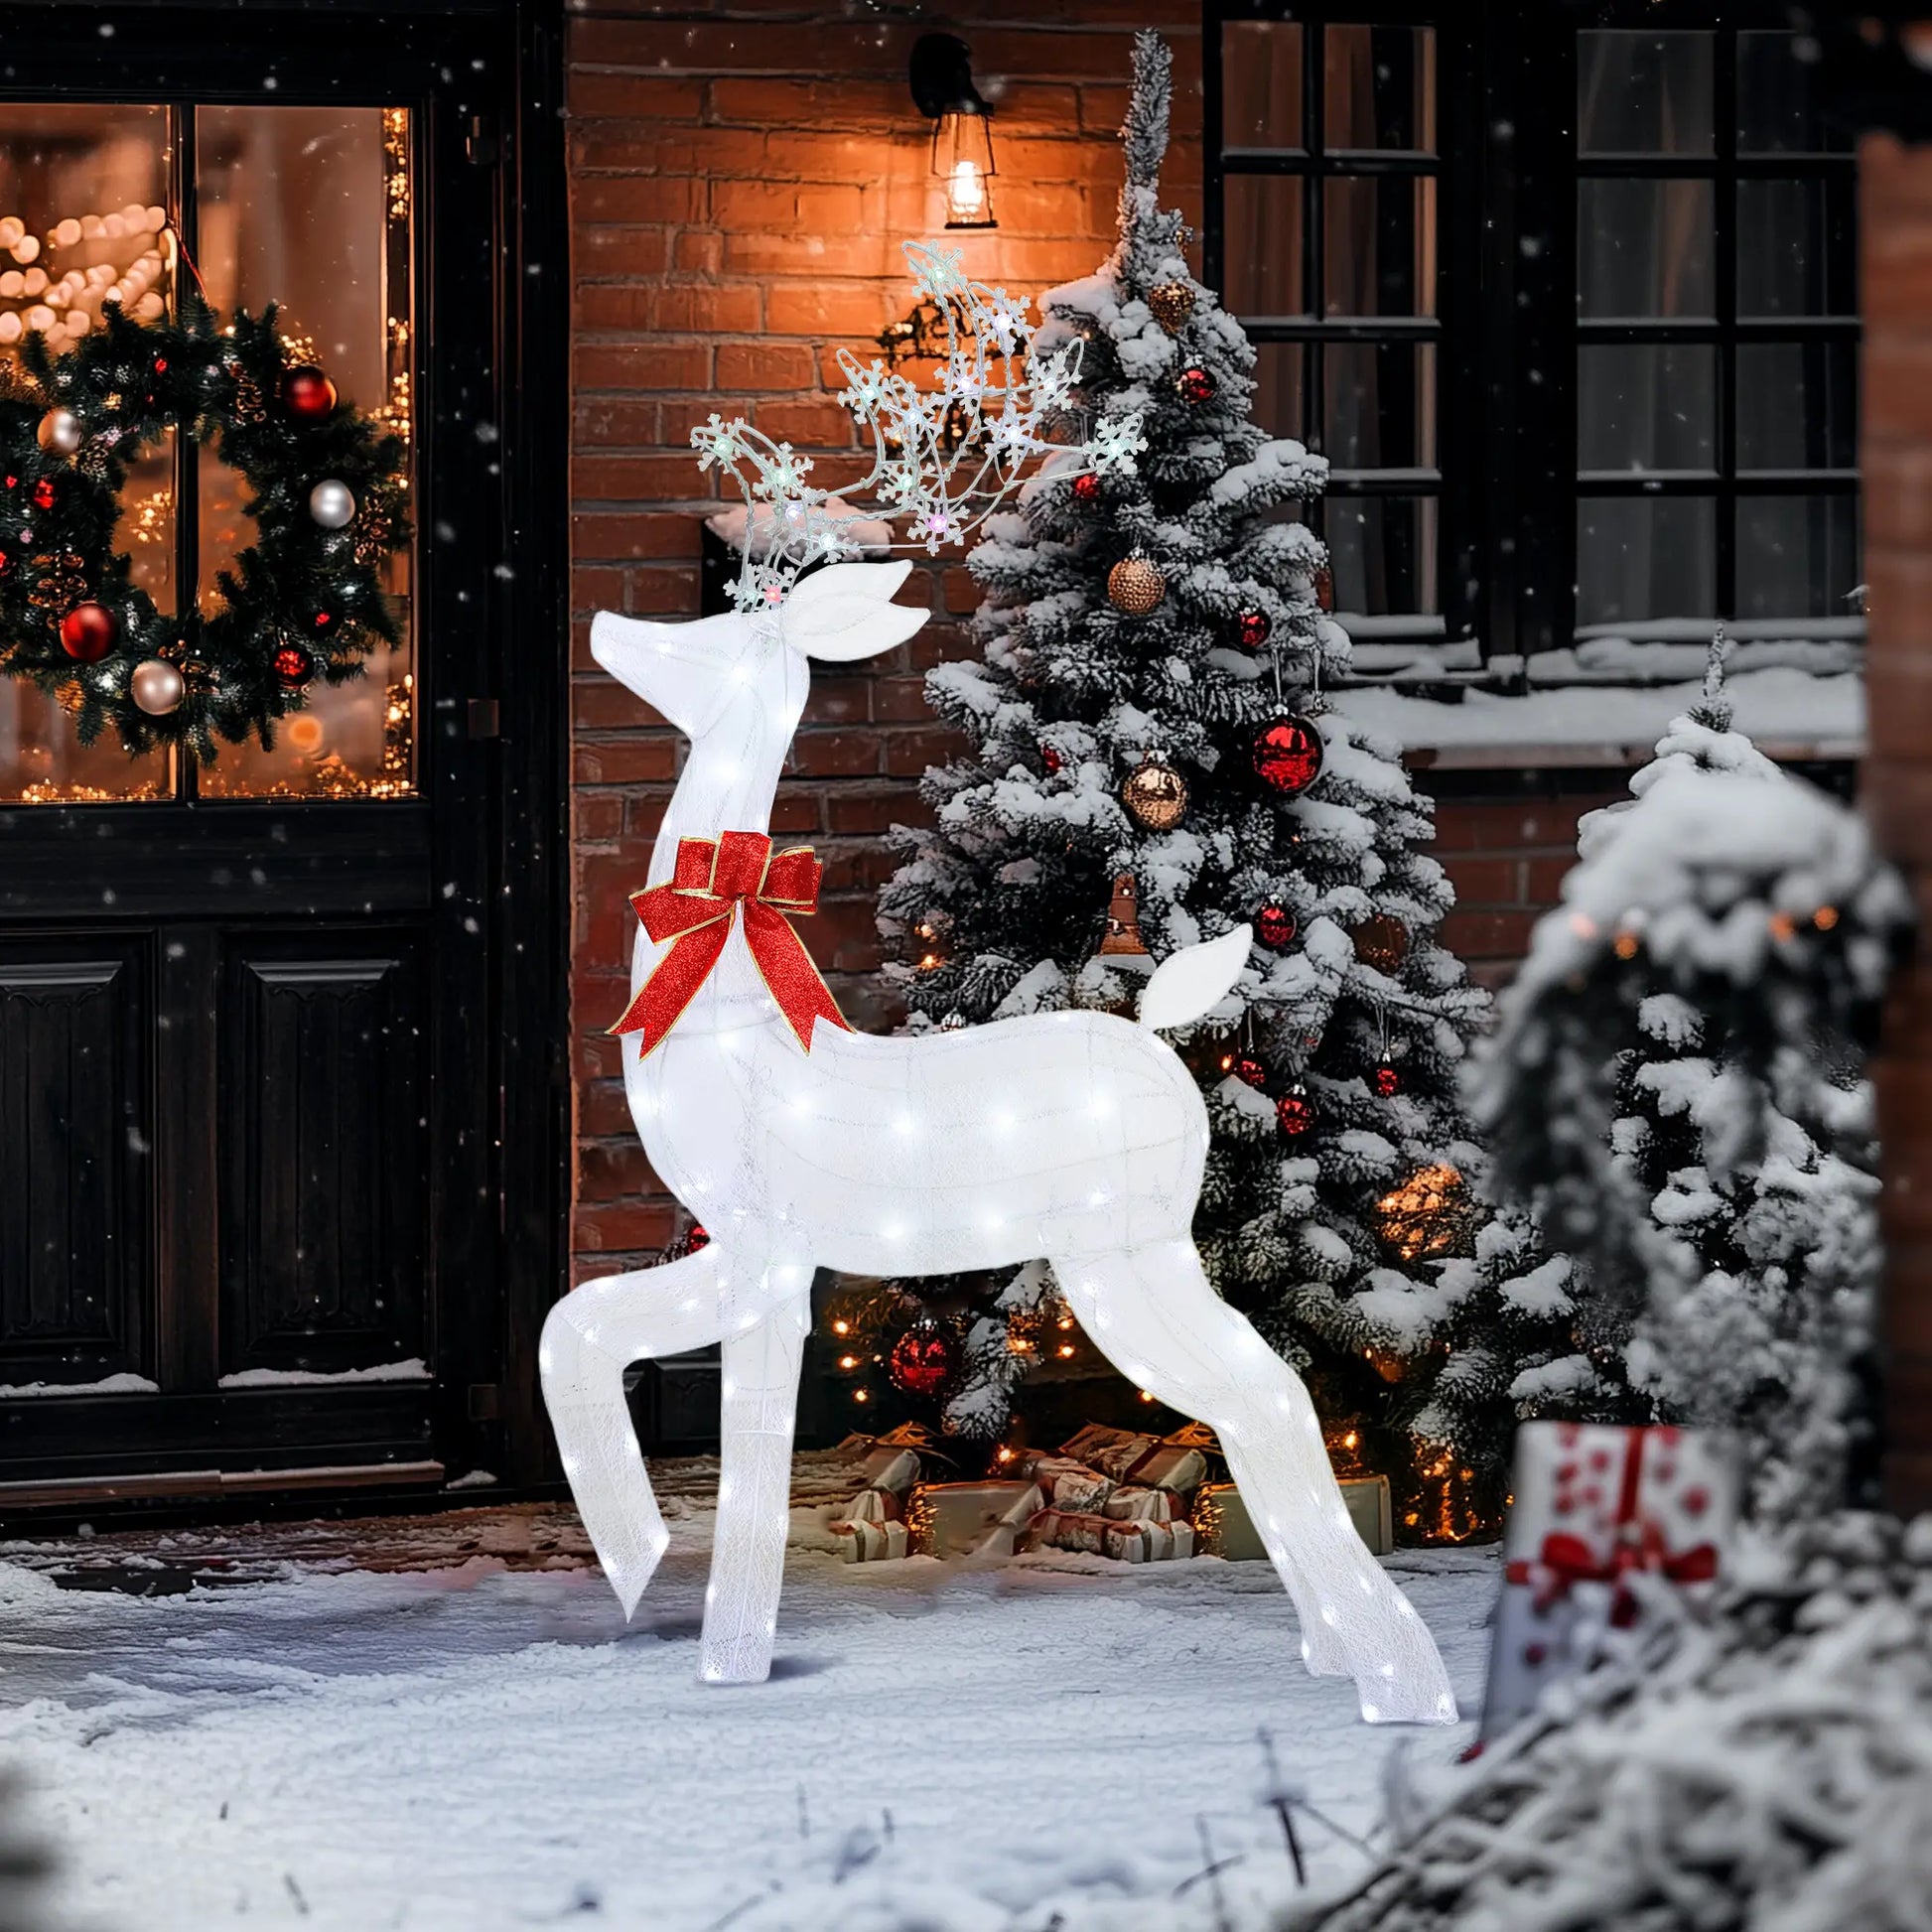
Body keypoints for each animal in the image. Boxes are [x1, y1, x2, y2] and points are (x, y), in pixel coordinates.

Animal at [540, 244, 1457, 1724]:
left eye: (713, 632)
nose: (611, 620)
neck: (732, 998)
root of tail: (1172, 1044)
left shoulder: (762, 1242)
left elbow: (627, 1370)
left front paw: (679, 1604)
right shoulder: (754, 1252)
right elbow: (645, 1377)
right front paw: (681, 1607)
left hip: (1119, 1251)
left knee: (1263, 1394)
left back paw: (1399, 1681)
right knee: (1261, 1401)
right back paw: (1340, 1650)